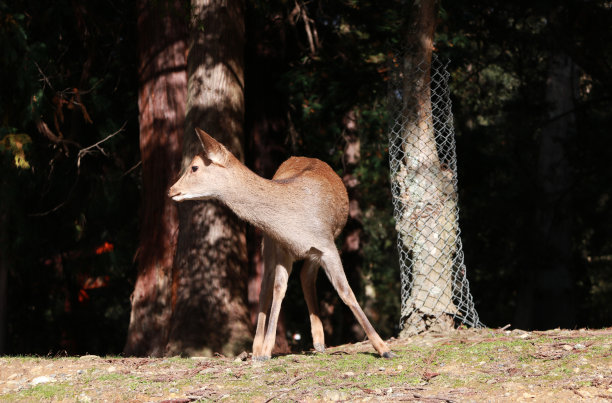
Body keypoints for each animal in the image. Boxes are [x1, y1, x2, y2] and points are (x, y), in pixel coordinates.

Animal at [170, 128, 394, 362]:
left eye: (194, 167)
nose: (172, 190)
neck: (294, 226)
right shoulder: (282, 248)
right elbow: (279, 289)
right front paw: (265, 351)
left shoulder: (326, 245)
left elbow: (345, 291)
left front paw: (383, 348)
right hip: (268, 244)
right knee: (266, 287)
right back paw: (258, 348)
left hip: (311, 250)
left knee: (305, 277)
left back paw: (319, 341)